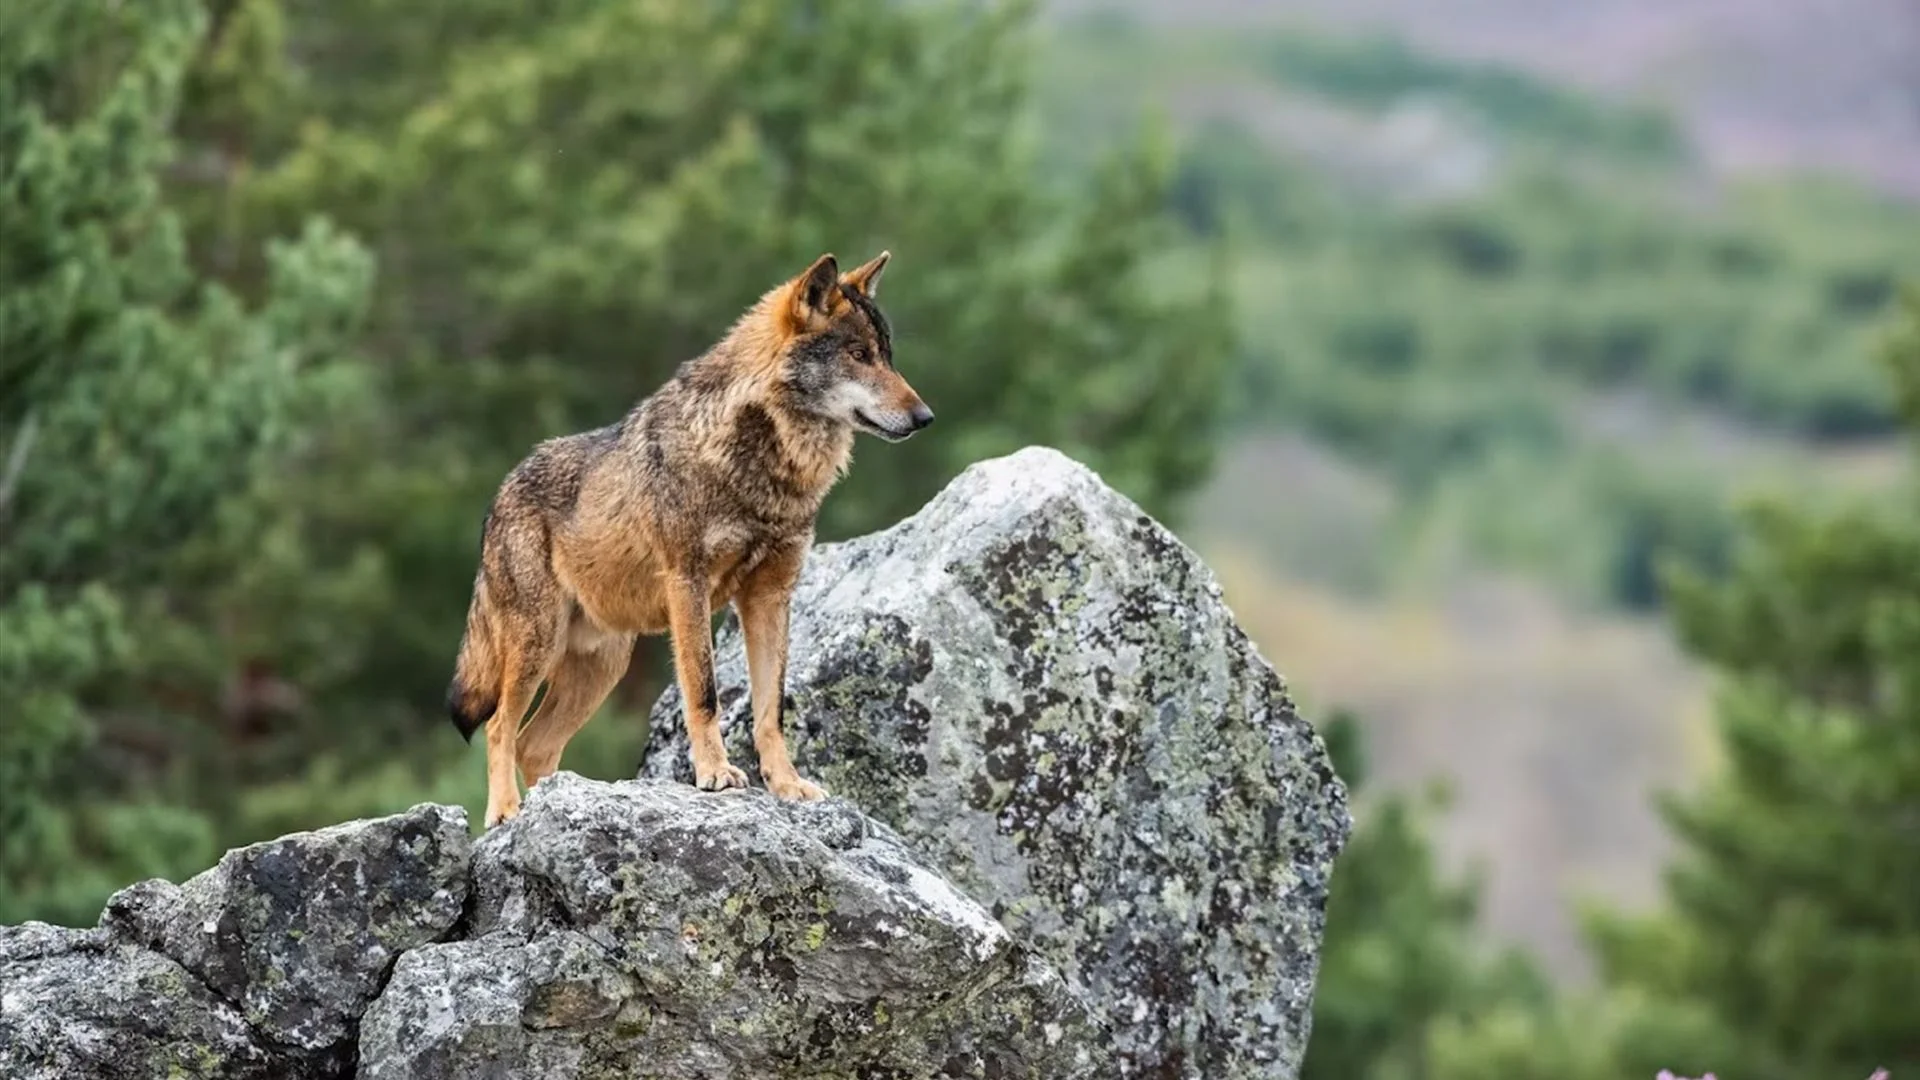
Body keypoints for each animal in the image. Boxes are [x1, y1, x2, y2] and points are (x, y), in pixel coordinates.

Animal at [445, 251, 932, 826]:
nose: (926, 417)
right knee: (501, 727)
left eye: (887, 356)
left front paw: (786, 785)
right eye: (858, 355)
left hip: (603, 667)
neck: (765, 467)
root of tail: (499, 493)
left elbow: (771, 709)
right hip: (538, 646)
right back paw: (506, 813)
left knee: (534, 745)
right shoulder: (688, 584)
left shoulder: (770, 598)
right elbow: (705, 693)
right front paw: (715, 775)